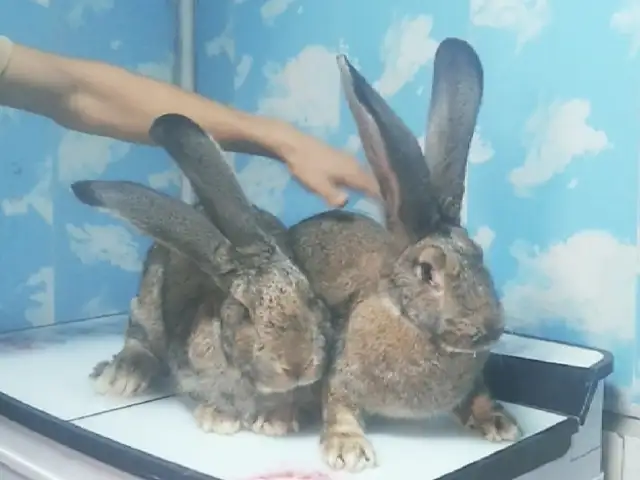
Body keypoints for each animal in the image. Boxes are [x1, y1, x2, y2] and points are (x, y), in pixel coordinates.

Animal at [71, 113, 331, 436]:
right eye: (243, 312)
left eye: (311, 298)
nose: (297, 365)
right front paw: (219, 418)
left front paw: (276, 420)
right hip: (147, 303)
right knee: (139, 339)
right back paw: (121, 376)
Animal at [288, 38, 521, 472]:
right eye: (427, 272)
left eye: (480, 255)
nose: (490, 328)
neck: (406, 319)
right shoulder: (340, 376)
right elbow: (338, 407)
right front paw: (348, 450)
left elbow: (478, 396)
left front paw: (500, 422)